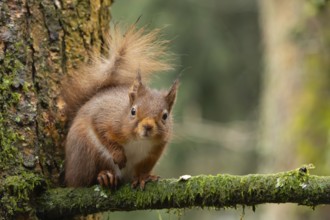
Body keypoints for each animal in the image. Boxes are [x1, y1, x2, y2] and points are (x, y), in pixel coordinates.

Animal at [60, 24, 179, 189]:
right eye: (133, 111)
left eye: (165, 116)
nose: (147, 126)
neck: (138, 140)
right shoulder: (105, 117)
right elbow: (102, 131)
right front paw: (118, 154)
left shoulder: (153, 153)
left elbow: (143, 169)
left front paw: (142, 177)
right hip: (86, 152)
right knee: (82, 180)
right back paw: (104, 176)